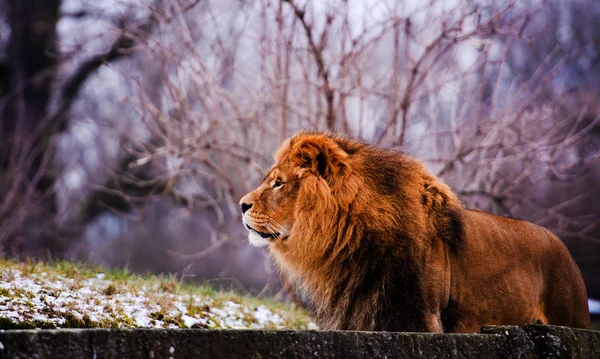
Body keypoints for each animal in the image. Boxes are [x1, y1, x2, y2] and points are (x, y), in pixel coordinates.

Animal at [239, 131, 592, 334]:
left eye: (279, 183)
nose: (241, 204)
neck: (350, 241)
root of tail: (563, 248)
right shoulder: (361, 316)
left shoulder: (419, 318)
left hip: (572, 316)